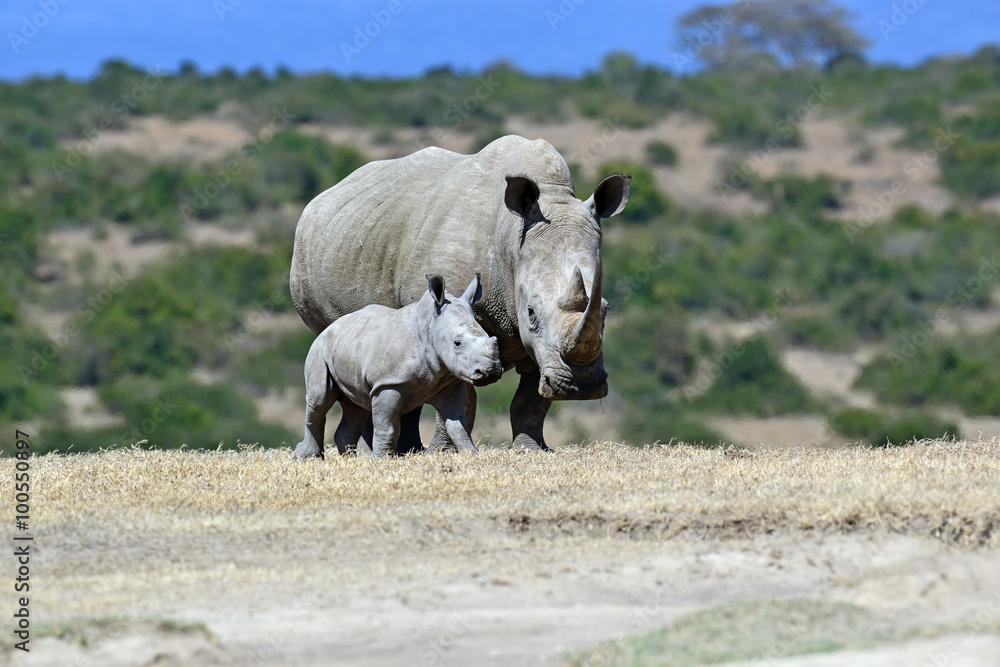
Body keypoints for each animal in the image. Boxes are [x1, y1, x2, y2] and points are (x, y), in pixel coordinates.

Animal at [293, 274, 502, 459]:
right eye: (457, 343)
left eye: (492, 338)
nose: (490, 371)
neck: (428, 328)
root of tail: (330, 327)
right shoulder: (388, 383)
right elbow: (387, 426)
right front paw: (380, 459)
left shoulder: (449, 383)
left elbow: (458, 424)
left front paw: (472, 454)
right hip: (319, 348)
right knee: (320, 399)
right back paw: (307, 457)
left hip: (347, 345)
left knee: (356, 406)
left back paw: (350, 459)